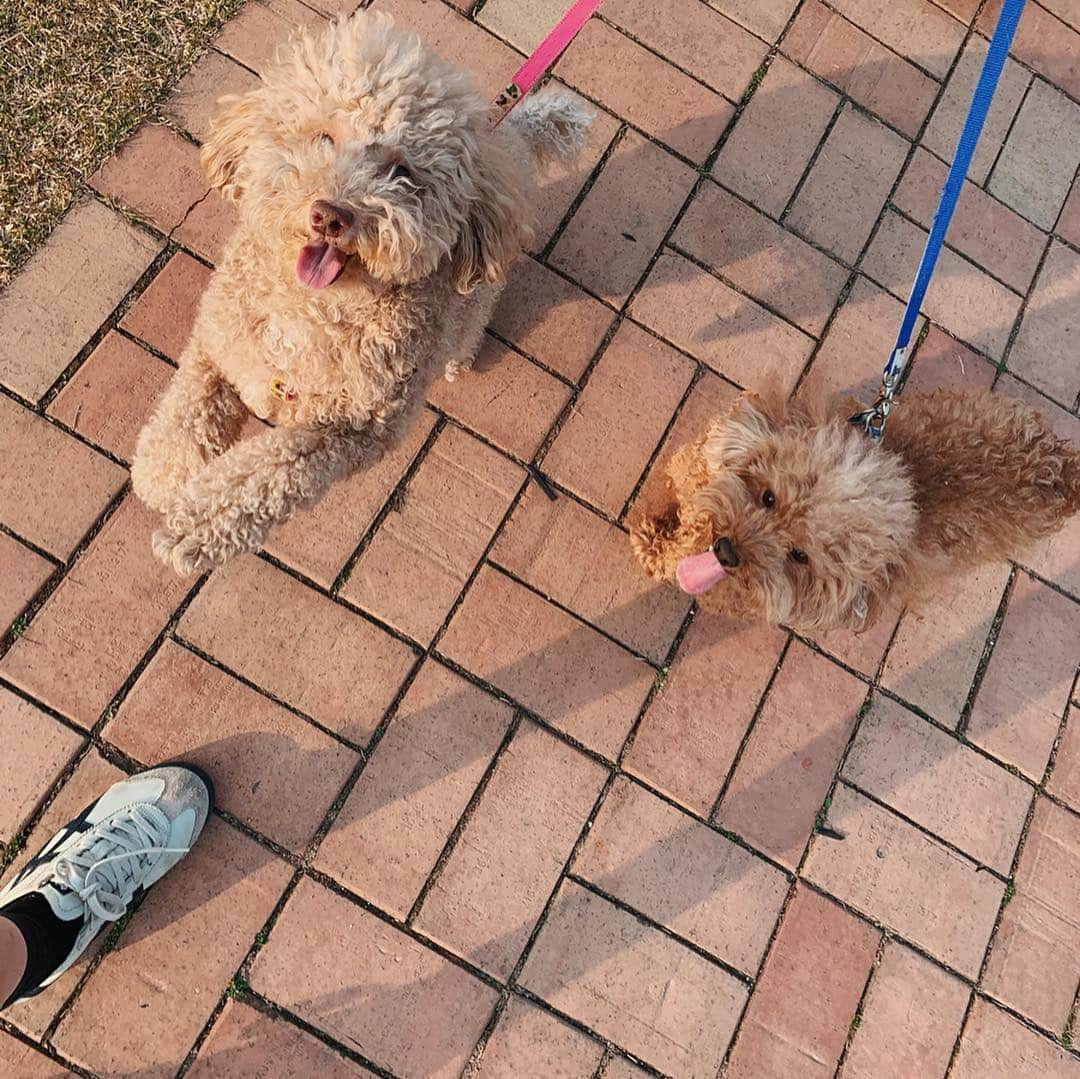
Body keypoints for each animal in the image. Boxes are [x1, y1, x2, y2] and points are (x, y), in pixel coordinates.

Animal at [136, 10, 596, 574]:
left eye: (401, 171)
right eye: (324, 137)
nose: (330, 215)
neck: (312, 311)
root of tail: (504, 135)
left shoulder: (353, 431)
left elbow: (267, 474)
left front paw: (194, 529)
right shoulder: (219, 339)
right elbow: (189, 405)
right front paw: (163, 472)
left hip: (476, 296)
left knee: (470, 325)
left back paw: (458, 361)